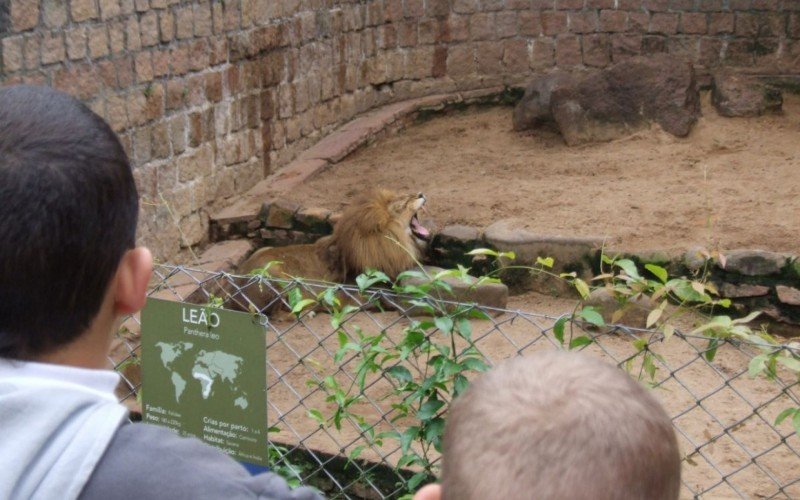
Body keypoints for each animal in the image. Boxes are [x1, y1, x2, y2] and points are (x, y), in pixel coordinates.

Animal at [222, 190, 434, 312]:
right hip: (274, 272)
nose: (421, 193)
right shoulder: (355, 294)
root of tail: (232, 295)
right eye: (405, 203)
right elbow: (389, 298)